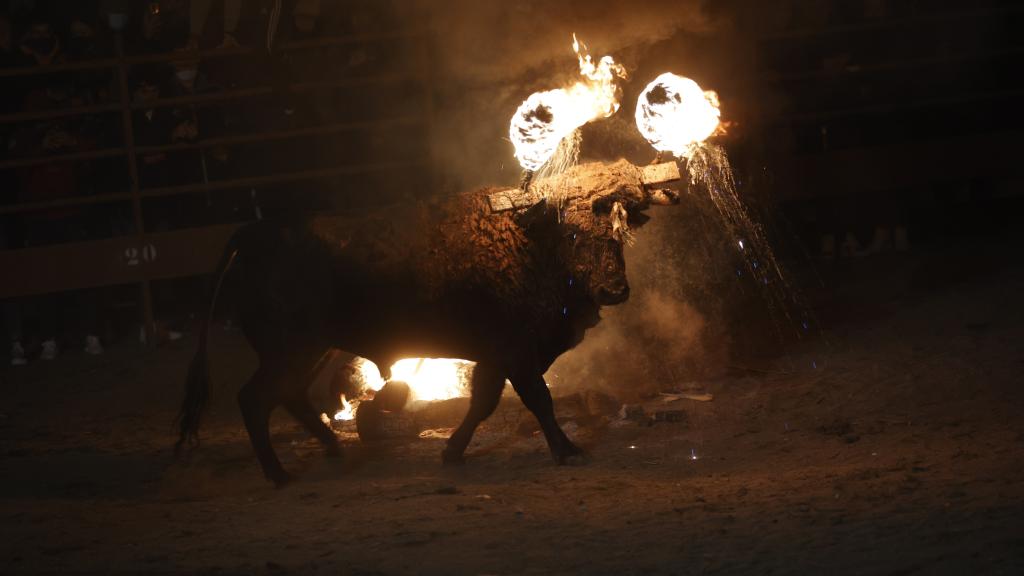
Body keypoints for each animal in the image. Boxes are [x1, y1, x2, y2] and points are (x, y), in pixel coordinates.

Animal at [176, 158, 675, 481]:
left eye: (621, 229)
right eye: (570, 232)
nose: (614, 290)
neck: (524, 239)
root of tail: (253, 233)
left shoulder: (498, 357)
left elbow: (483, 402)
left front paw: (453, 451)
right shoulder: (516, 352)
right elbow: (538, 400)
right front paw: (568, 451)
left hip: (311, 349)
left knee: (289, 395)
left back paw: (332, 450)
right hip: (290, 349)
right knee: (254, 399)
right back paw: (278, 473)